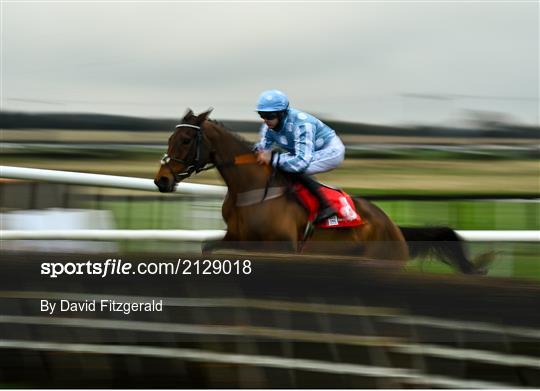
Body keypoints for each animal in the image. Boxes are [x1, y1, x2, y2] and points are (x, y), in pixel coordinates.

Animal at [153, 108, 490, 274]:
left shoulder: (283, 247)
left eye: (185, 140)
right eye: (170, 138)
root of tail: (394, 227)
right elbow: (208, 248)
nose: (162, 180)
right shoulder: (236, 237)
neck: (249, 190)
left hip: (383, 261)